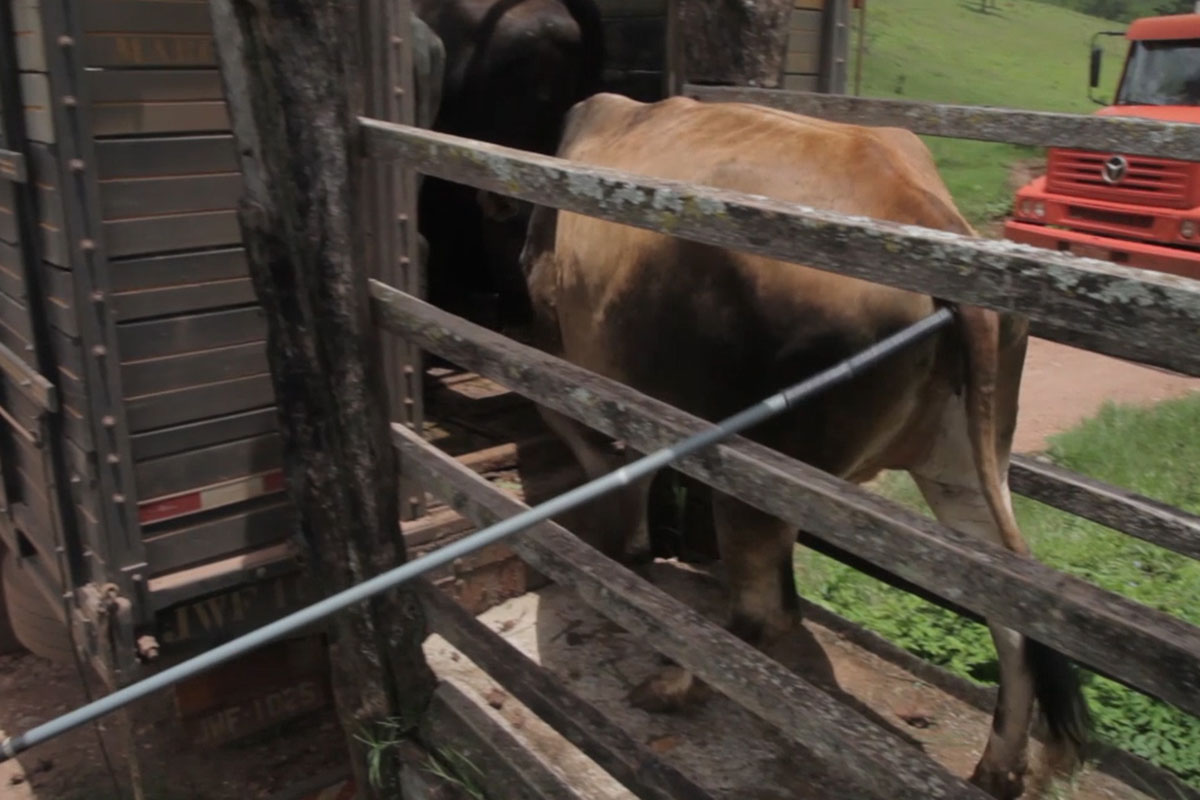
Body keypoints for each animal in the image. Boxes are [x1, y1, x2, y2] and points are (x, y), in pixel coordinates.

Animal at [520, 95, 1094, 800]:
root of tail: (927, 213)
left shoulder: (570, 363)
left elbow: (615, 466)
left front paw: (623, 557)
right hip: (961, 460)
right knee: (1010, 617)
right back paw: (997, 769)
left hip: (759, 458)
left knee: (762, 612)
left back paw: (672, 686)